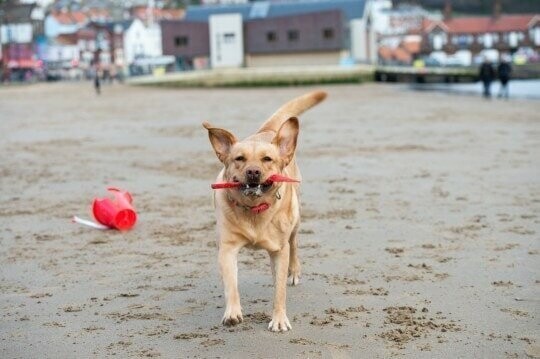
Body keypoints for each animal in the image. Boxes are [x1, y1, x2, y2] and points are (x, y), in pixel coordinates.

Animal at [204, 90, 324, 332]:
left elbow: (279, 291)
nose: (253, 172)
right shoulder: (227, 248)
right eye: (239, 159)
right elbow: (231, 284)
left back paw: (293, 271)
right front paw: (232, 312)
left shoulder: (279, 250)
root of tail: (266, 132)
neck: (254, 210)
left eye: (267, 159)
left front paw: (279, 320)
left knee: (294, 244)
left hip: (295, 221)